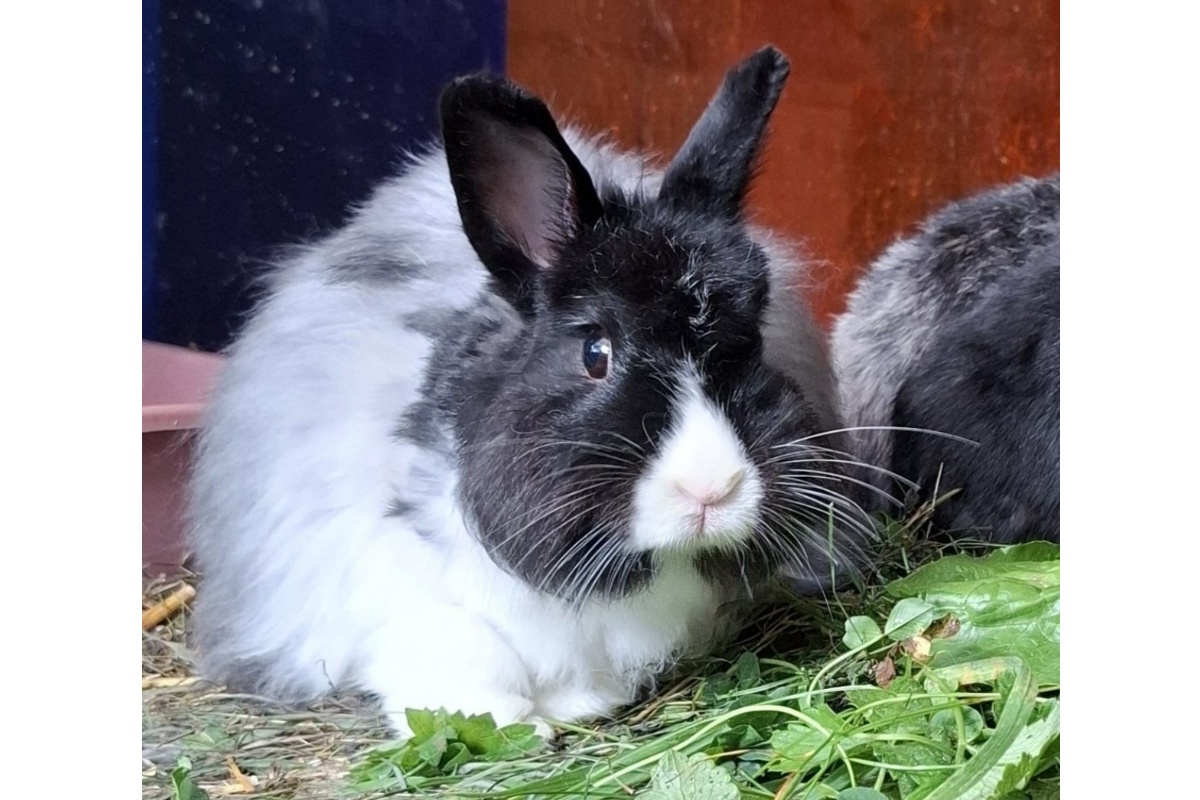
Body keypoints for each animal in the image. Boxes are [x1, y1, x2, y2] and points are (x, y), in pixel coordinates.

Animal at [187, 47, 873, 743]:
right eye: (595, 353)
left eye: (752, 342)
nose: (713, 490)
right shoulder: (388, 580)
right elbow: (468, 645)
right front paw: (505, 722)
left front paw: (576, 704)